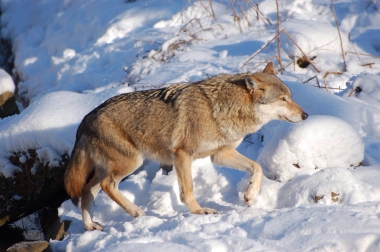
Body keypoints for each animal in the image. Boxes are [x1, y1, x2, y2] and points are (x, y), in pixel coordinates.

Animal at [64, 62, 308, 230]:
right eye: (283, 99)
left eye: (291, 97)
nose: (306, 115)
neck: (222, 109)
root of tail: (85, 118)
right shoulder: (182, 155)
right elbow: (187, 191)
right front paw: (200, 211)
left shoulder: (221, 155)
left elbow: (256, 168)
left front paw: (250, 196)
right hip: (131, 163)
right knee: (107, 186)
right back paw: (135, 211)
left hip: (109, 168)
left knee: (86, 192)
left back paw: (90, 226)